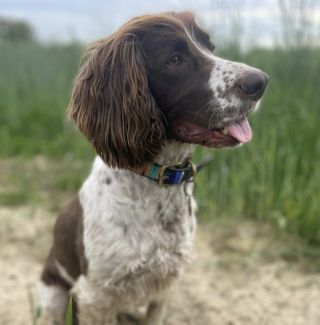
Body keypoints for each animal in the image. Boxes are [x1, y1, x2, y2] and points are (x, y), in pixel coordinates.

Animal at [37, 11, 268, 324]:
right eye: (174, 59)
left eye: (211, 47)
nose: (261, 82)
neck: (158, 177)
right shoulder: (92, 296)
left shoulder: (165, 284)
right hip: (53, 295)